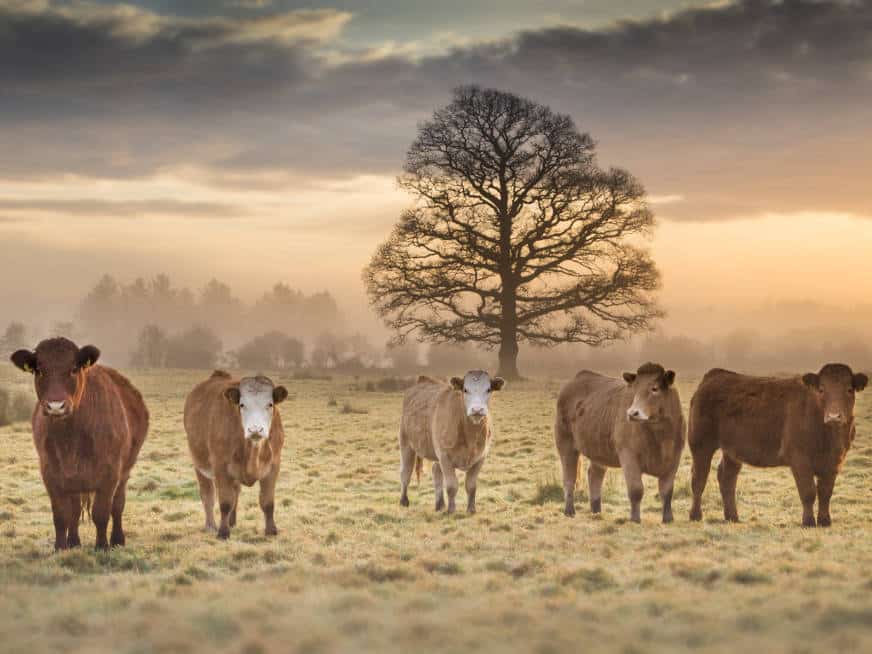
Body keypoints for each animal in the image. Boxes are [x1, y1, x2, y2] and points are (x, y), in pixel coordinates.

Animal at [10, 338, 149, 550]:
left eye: (74, 368)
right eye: (39, 370)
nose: (56, 406)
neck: (70, 439)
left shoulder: (110, 474)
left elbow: (101, 513)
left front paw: (102, 546)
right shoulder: (51, 474)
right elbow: (61, 515)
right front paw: (60, 547)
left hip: (125, 470)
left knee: (118, 505)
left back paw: (117, 539)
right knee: (75, 510)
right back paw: (74, 541)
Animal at [184, 371, 288, 539]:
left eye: (270, 404)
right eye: (242, 405)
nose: (255, 429)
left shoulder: (273, 466)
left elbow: (267, 502)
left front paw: (271, 530)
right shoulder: (220, 466)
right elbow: (225, 502)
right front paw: (223, 532)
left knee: (236, 493)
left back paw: (232, 522)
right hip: (199, 465)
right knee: (208, 496)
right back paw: (211, 525)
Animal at [398, 371, 505, 514]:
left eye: (488, 389)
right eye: (465, 389)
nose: (477, 410)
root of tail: (423, 380)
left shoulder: (480, 457)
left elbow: (471, 485)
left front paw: (471, 509)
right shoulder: (445, 457)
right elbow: (451, 486)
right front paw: (451, 510)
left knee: (436, 473)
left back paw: (440, 504)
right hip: (406, 443)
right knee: (406, 472)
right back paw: (404, 501)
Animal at [555, 363, 685, 523]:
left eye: (655, 388)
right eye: (634, 389)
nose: (632, 413)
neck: (660, 436)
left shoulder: (673, 460)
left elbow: (667, 491)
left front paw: (668, 518)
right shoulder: (629, 456)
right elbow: (636, 489)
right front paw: (635, 519)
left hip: (598, 450)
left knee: (594, 475)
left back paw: (596, 512)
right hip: (565, 444)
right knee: (569, 478)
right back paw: (569, 511)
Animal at [688, 364, 867, 527]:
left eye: (849, 389)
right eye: (821, 389)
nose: (834, 417)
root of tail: (715, 375)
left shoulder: (835, 461)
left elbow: (825, 493)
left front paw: (825, 521)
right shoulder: (799, 459)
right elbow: (808, 492)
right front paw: (808, 522)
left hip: (732, 450)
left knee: (727, 477)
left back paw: (732, 516)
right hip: (700, 444)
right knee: (699, 478)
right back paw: (695, 515)